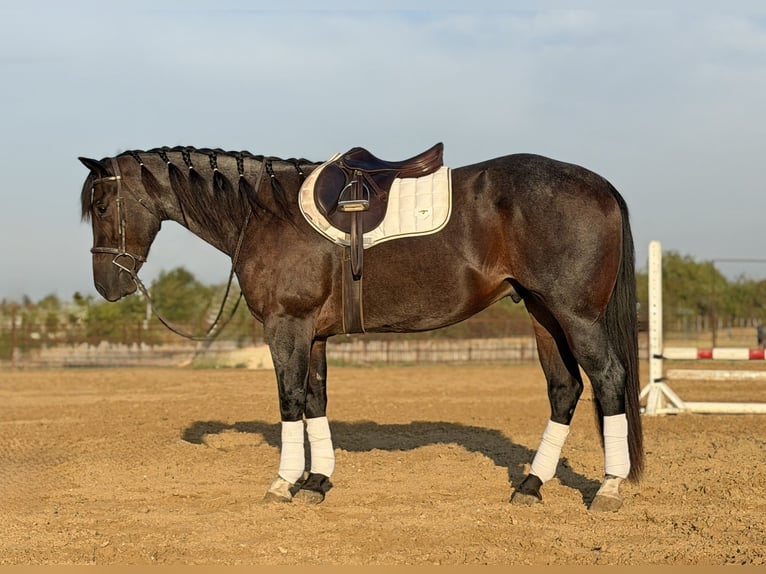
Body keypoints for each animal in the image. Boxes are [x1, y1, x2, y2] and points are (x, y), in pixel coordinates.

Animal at [78, 144, 644, 512]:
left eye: (102, 205)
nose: (108, 285)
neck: (265, 212)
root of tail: (600, 184)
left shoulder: (287, 327)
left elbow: (289, 399)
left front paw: (283, 483)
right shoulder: (313, 335)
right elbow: (315, 400)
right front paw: (317, 481)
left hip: (575, 315)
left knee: (608, 379)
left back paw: (609, 488)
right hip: (542, 313)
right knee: (565, 388)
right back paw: (531, 485)